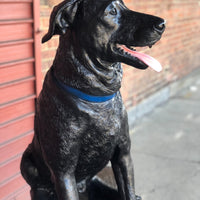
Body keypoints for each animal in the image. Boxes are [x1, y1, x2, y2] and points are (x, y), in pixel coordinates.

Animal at [20, 0, 165, 200]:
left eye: (125, 6)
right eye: (112, 11)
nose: (162, 24)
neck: (96, 97)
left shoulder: (123, 156)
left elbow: (128, 190)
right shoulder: (64, 173)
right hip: (29, 167)